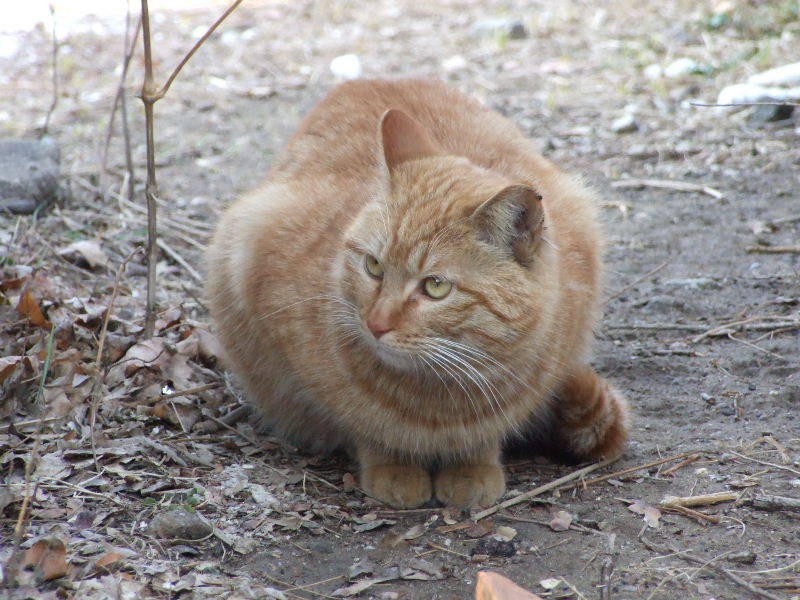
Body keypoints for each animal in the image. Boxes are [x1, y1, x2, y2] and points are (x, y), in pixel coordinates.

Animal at [208, 76, 632, 506]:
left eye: (435, 286)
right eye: (374, 267)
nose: (376, 324)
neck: (438, 397)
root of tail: (371, 78)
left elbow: (486, 436)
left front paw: (472, 466)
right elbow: (365, 425)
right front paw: (392, 465)